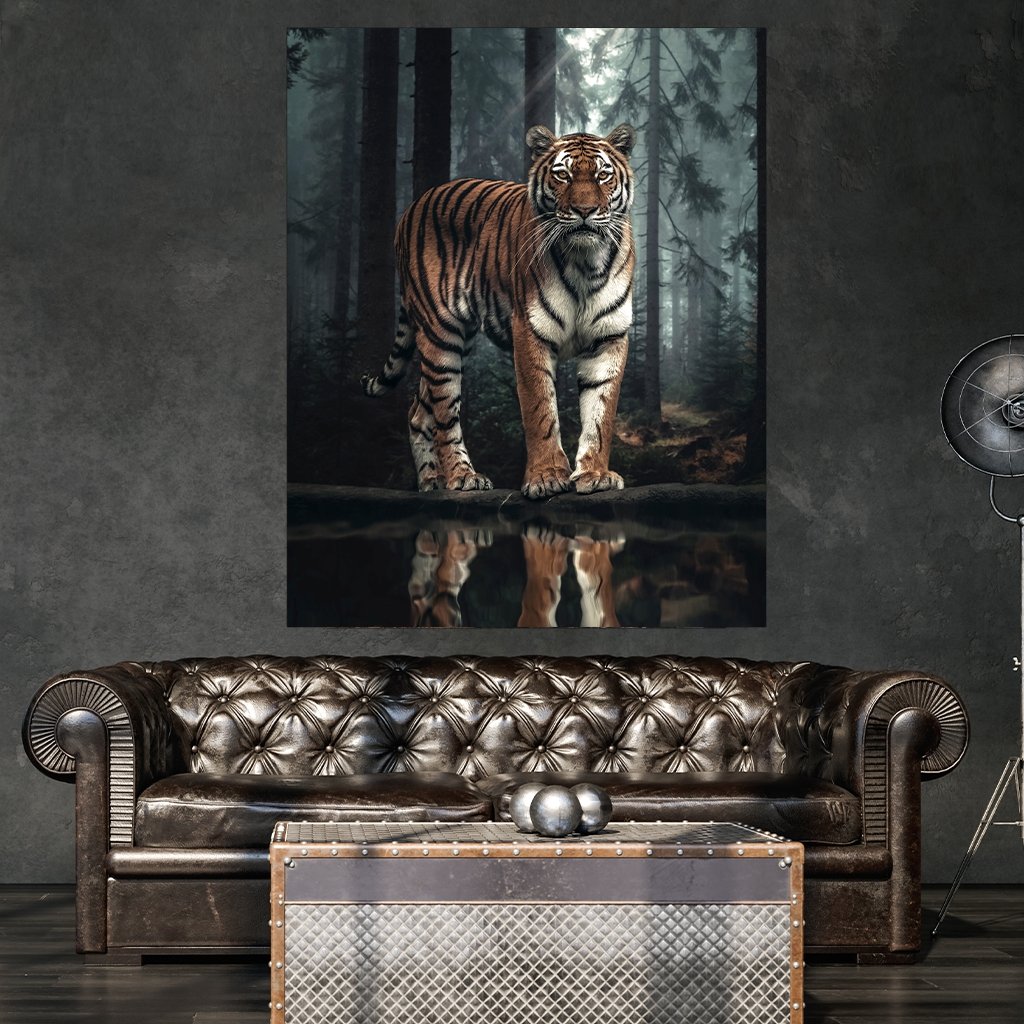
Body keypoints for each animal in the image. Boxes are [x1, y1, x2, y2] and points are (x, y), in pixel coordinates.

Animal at [361, 123, 637, 500]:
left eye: (603, 175)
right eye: (562, 175)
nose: (584, 210)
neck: (586, 262)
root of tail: (412, 206)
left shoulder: (608, 338)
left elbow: (601, 413)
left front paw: (595, 474)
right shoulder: (530, 330)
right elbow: (540, 409)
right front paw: (546, 477)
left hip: (457, 338)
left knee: (419, 410)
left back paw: (430, 482)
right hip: (440, 335)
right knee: (444, 413)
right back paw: (461, 477)